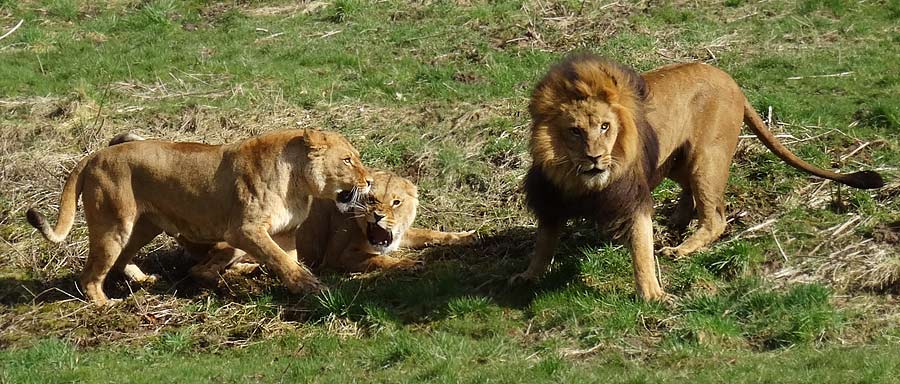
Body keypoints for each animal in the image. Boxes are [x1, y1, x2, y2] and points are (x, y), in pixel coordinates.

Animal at [27, 130, 372, 304]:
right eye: (347, 160)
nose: (368, 181)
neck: (297, 183)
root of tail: (93, 155)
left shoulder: (285, 233)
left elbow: (287, 259)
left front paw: (297, 287)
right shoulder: (243, 230)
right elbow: (279, 259)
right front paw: (312, 286)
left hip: (143, 227)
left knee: (125, 259)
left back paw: (147, 280)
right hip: (114, 224)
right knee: (90, 275)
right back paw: (104, 305)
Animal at [185, 168, 478, 280]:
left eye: (396, 202)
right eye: (371, 200)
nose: (378, 216)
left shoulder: (398, 234)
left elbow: (431, 233)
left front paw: (466, 237)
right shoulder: (337, 256)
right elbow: (378, 259)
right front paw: (408, 263)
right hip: (242, 236)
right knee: (203, 270)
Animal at [512, 53, 884, 300]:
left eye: (605, 127)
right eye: (575, 131)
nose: (594, 157)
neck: (581, 180)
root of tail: (731, 81)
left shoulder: (634, 199)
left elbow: (642, 251)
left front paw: (653, 295)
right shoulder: (550, 200)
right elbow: (544, 244)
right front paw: (528, 276)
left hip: (708, 158)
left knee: (715, 217)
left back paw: (681, 248)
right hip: (679, 161)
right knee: (691, 196)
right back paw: (675, 223)